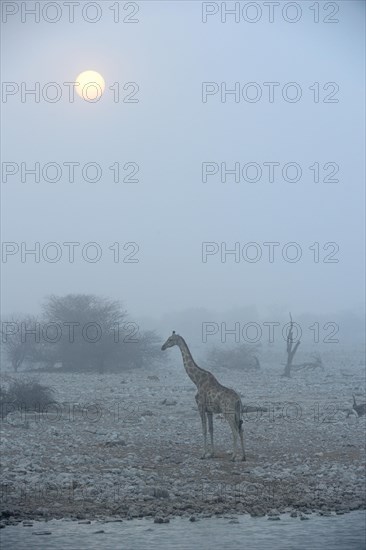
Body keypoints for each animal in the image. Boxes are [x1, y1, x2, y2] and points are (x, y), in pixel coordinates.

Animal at [161, 332, 244, 462]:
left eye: (170, 339)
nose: (162, 347)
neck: (196, 380)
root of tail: (238, 400)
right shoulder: (209, 410)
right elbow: (211, 429)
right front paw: (212, 453)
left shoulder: (200, 406)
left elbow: (203, 429)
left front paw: (203, 454)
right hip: (237, 412)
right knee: (241, 429)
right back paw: (243, 456)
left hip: (228, 412)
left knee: (235, 431)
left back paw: (233, 456)